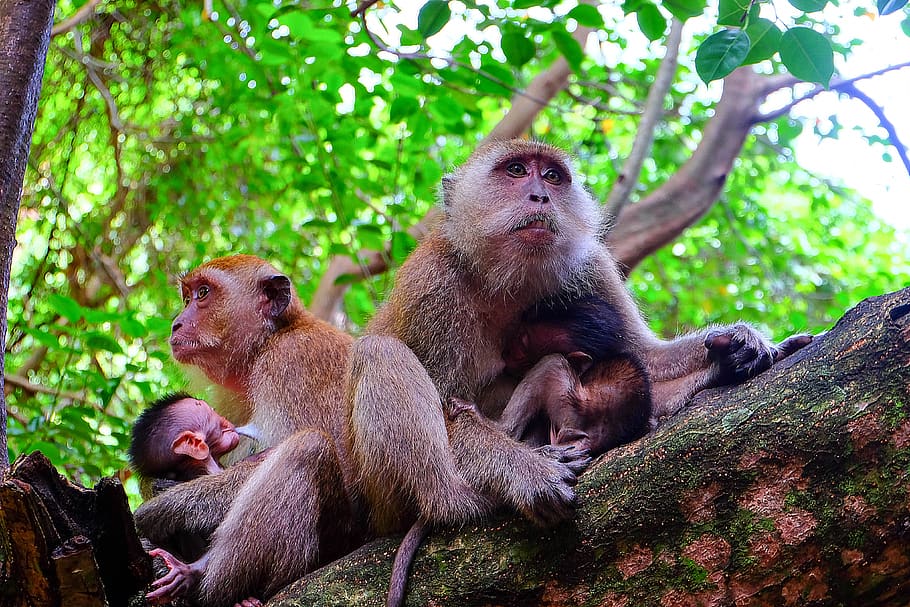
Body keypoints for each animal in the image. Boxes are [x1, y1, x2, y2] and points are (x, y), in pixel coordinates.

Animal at [133, 255, 360, 607]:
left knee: (308, 448)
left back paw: (206, 583)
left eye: (202, 293)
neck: (268, 342)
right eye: (186, 298)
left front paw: (162, 505)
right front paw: (155, 485)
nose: (176, 324)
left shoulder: (294, 361)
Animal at [347, 139, 812, 606]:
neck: (505, 274)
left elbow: (644, 358)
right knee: (381, 352)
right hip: (384, 499)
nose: (541, 196)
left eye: (553, 177)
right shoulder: (432, 285)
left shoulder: (592, 267)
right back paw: (457, 499)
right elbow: (450, 407)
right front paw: (526, 473)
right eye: (516, 171)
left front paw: (741, 342)